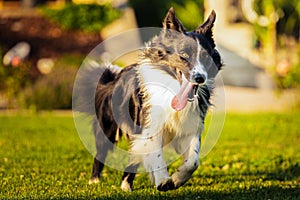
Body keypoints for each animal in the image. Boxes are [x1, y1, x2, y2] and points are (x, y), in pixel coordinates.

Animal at [89, 7, 223, 191]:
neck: (173, 90)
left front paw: (177, 179)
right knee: (101, 151)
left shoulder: (191, 125)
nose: (199, 78)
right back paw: (96, 181)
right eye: (183, 55)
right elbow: (156, 155)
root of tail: (114, 79)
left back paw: (126, 184)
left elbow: (193, 161)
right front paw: (163, 180)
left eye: (205, 57)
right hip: (108, 126)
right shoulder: (150, 125)